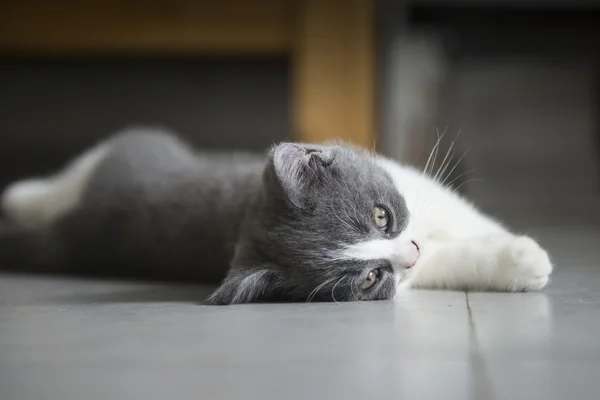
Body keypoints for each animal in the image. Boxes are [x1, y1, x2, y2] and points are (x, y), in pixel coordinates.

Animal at [1, 126, 552, 302]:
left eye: (381, 217)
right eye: (370, 277)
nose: (410, 250)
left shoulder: (417, 187)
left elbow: (465, 215)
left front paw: (516, 246)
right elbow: (445, 260)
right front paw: (523, 262)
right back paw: (19, 193)